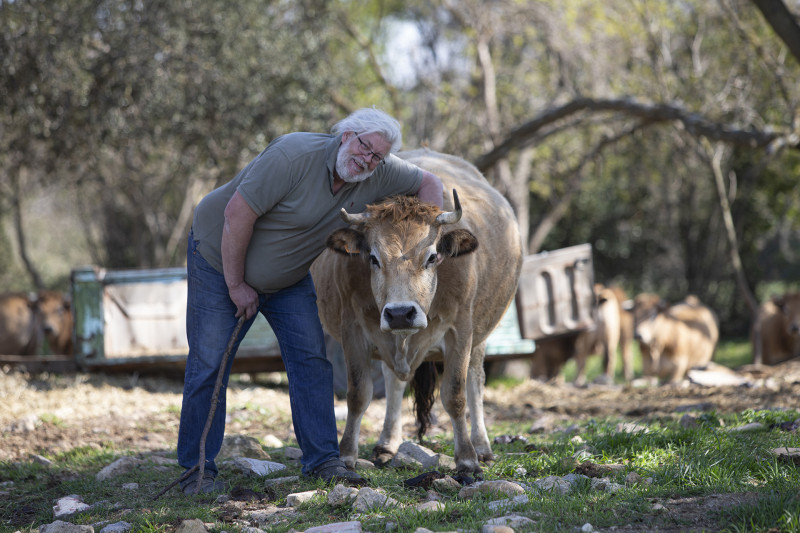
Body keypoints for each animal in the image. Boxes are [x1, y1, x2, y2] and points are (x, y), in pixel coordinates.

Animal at [311, 148, 522, 475]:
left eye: (432, 256)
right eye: (373, 258)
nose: (400, 313)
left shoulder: (460, 331)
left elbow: (456, 395)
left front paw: (467, 459)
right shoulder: (353, 330)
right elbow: (358, 395)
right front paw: (346, 455)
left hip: (481, 336)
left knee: (475, 383)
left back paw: (483, 447)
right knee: (393, 381)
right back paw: (387, 444)